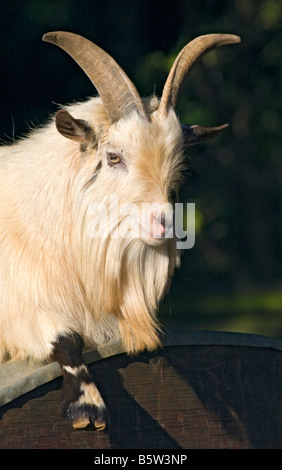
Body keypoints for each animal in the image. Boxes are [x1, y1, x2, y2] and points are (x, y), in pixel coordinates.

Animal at [0, 31, 240, 430]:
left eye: (177, 162)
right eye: (113, 156)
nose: (163, 223)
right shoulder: (18, 306)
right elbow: (67, 337)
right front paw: (88, 406)